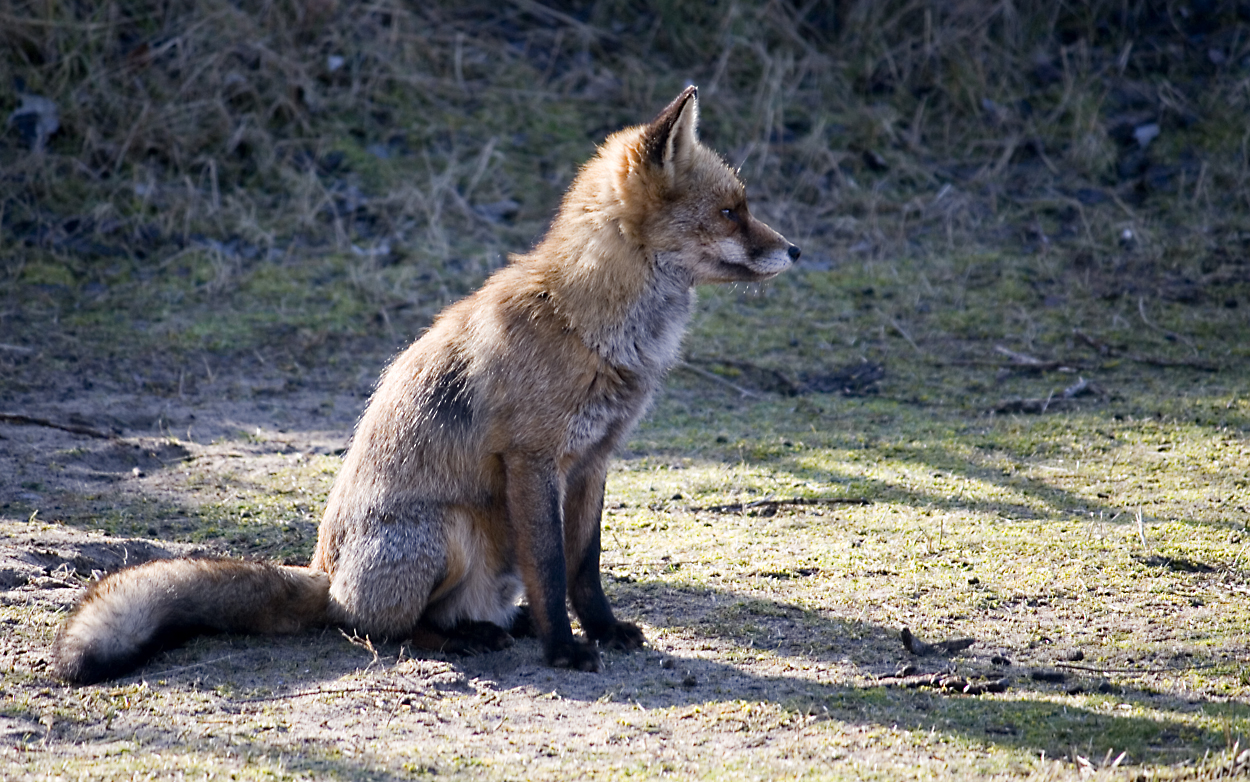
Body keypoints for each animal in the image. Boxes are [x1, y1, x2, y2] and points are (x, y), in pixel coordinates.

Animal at [53, 86, 795, 679]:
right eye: (731, 212)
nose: (795, 249)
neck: (586, 322)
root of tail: (325, 576)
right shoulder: (532, 461)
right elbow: (551, 568)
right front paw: (564, 649)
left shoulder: (593, 461)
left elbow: (583, 569)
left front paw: (604, 631)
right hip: (451, 528)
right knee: (377, 628)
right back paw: (458, 640)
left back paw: (499, 624)